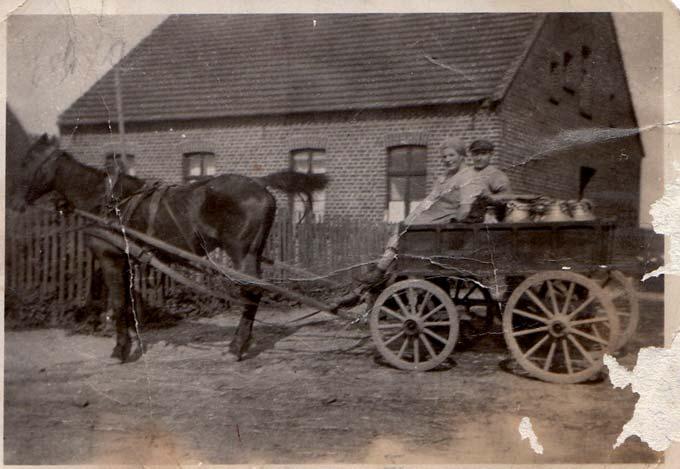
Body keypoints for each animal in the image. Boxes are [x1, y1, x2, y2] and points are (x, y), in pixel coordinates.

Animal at [12, 135, 326, 362]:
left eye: (28, 162)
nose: (13, 201)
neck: (107, 202)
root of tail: (260, 183)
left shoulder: (111, 258)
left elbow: (118, 304)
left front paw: (120, 349)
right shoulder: (126, 260)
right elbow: (128, 304)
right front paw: (131, 342)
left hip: (241, 253)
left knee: (251, 293)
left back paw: (237, 346)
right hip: (254, 253)